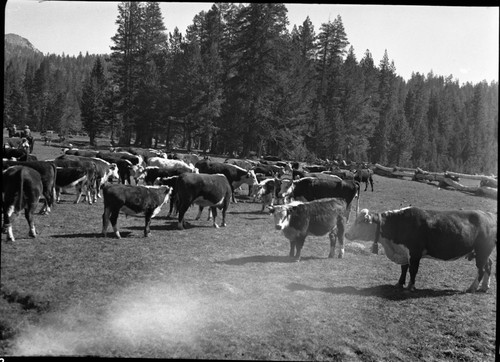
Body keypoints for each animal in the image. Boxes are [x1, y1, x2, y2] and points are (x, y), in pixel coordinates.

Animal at [346, 205, 498, 292]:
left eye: (360, 221)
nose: (347, 234)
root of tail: (488, 215)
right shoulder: (404, 252)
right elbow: (404, 268)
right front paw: (399, 283)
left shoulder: (415, 252)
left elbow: (413, 270)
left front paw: (411, 286)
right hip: (482, 253)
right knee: (489, 265)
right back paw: (484, 286)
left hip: (482, 252)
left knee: (481, 269)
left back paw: (472, 287)